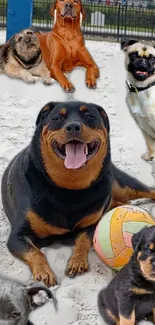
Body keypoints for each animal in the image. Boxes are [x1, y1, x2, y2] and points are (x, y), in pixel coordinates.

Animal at [1, 101, 155, 286]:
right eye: (57, 118)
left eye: (89, 116)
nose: (73, 126)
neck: (69, 187)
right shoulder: (17, 236)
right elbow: (35, 251)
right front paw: (44, 272)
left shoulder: (92, 224)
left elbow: (83, 240)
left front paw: (77, 261)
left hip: (122, 185)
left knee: (148, 190)